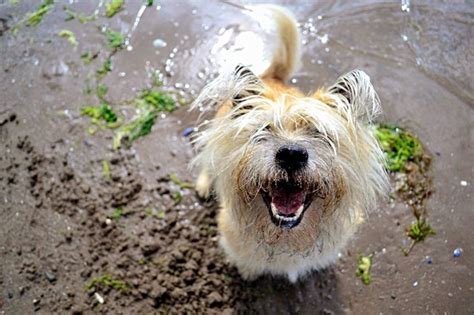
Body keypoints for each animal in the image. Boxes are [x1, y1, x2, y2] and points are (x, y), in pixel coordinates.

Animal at [191, 4, 386, 282]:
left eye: (319, 132)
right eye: (264, 129)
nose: (292, 155)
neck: (287, 237)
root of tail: (272, 76)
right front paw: (248, 273)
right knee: (208, 161)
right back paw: (205, 184)